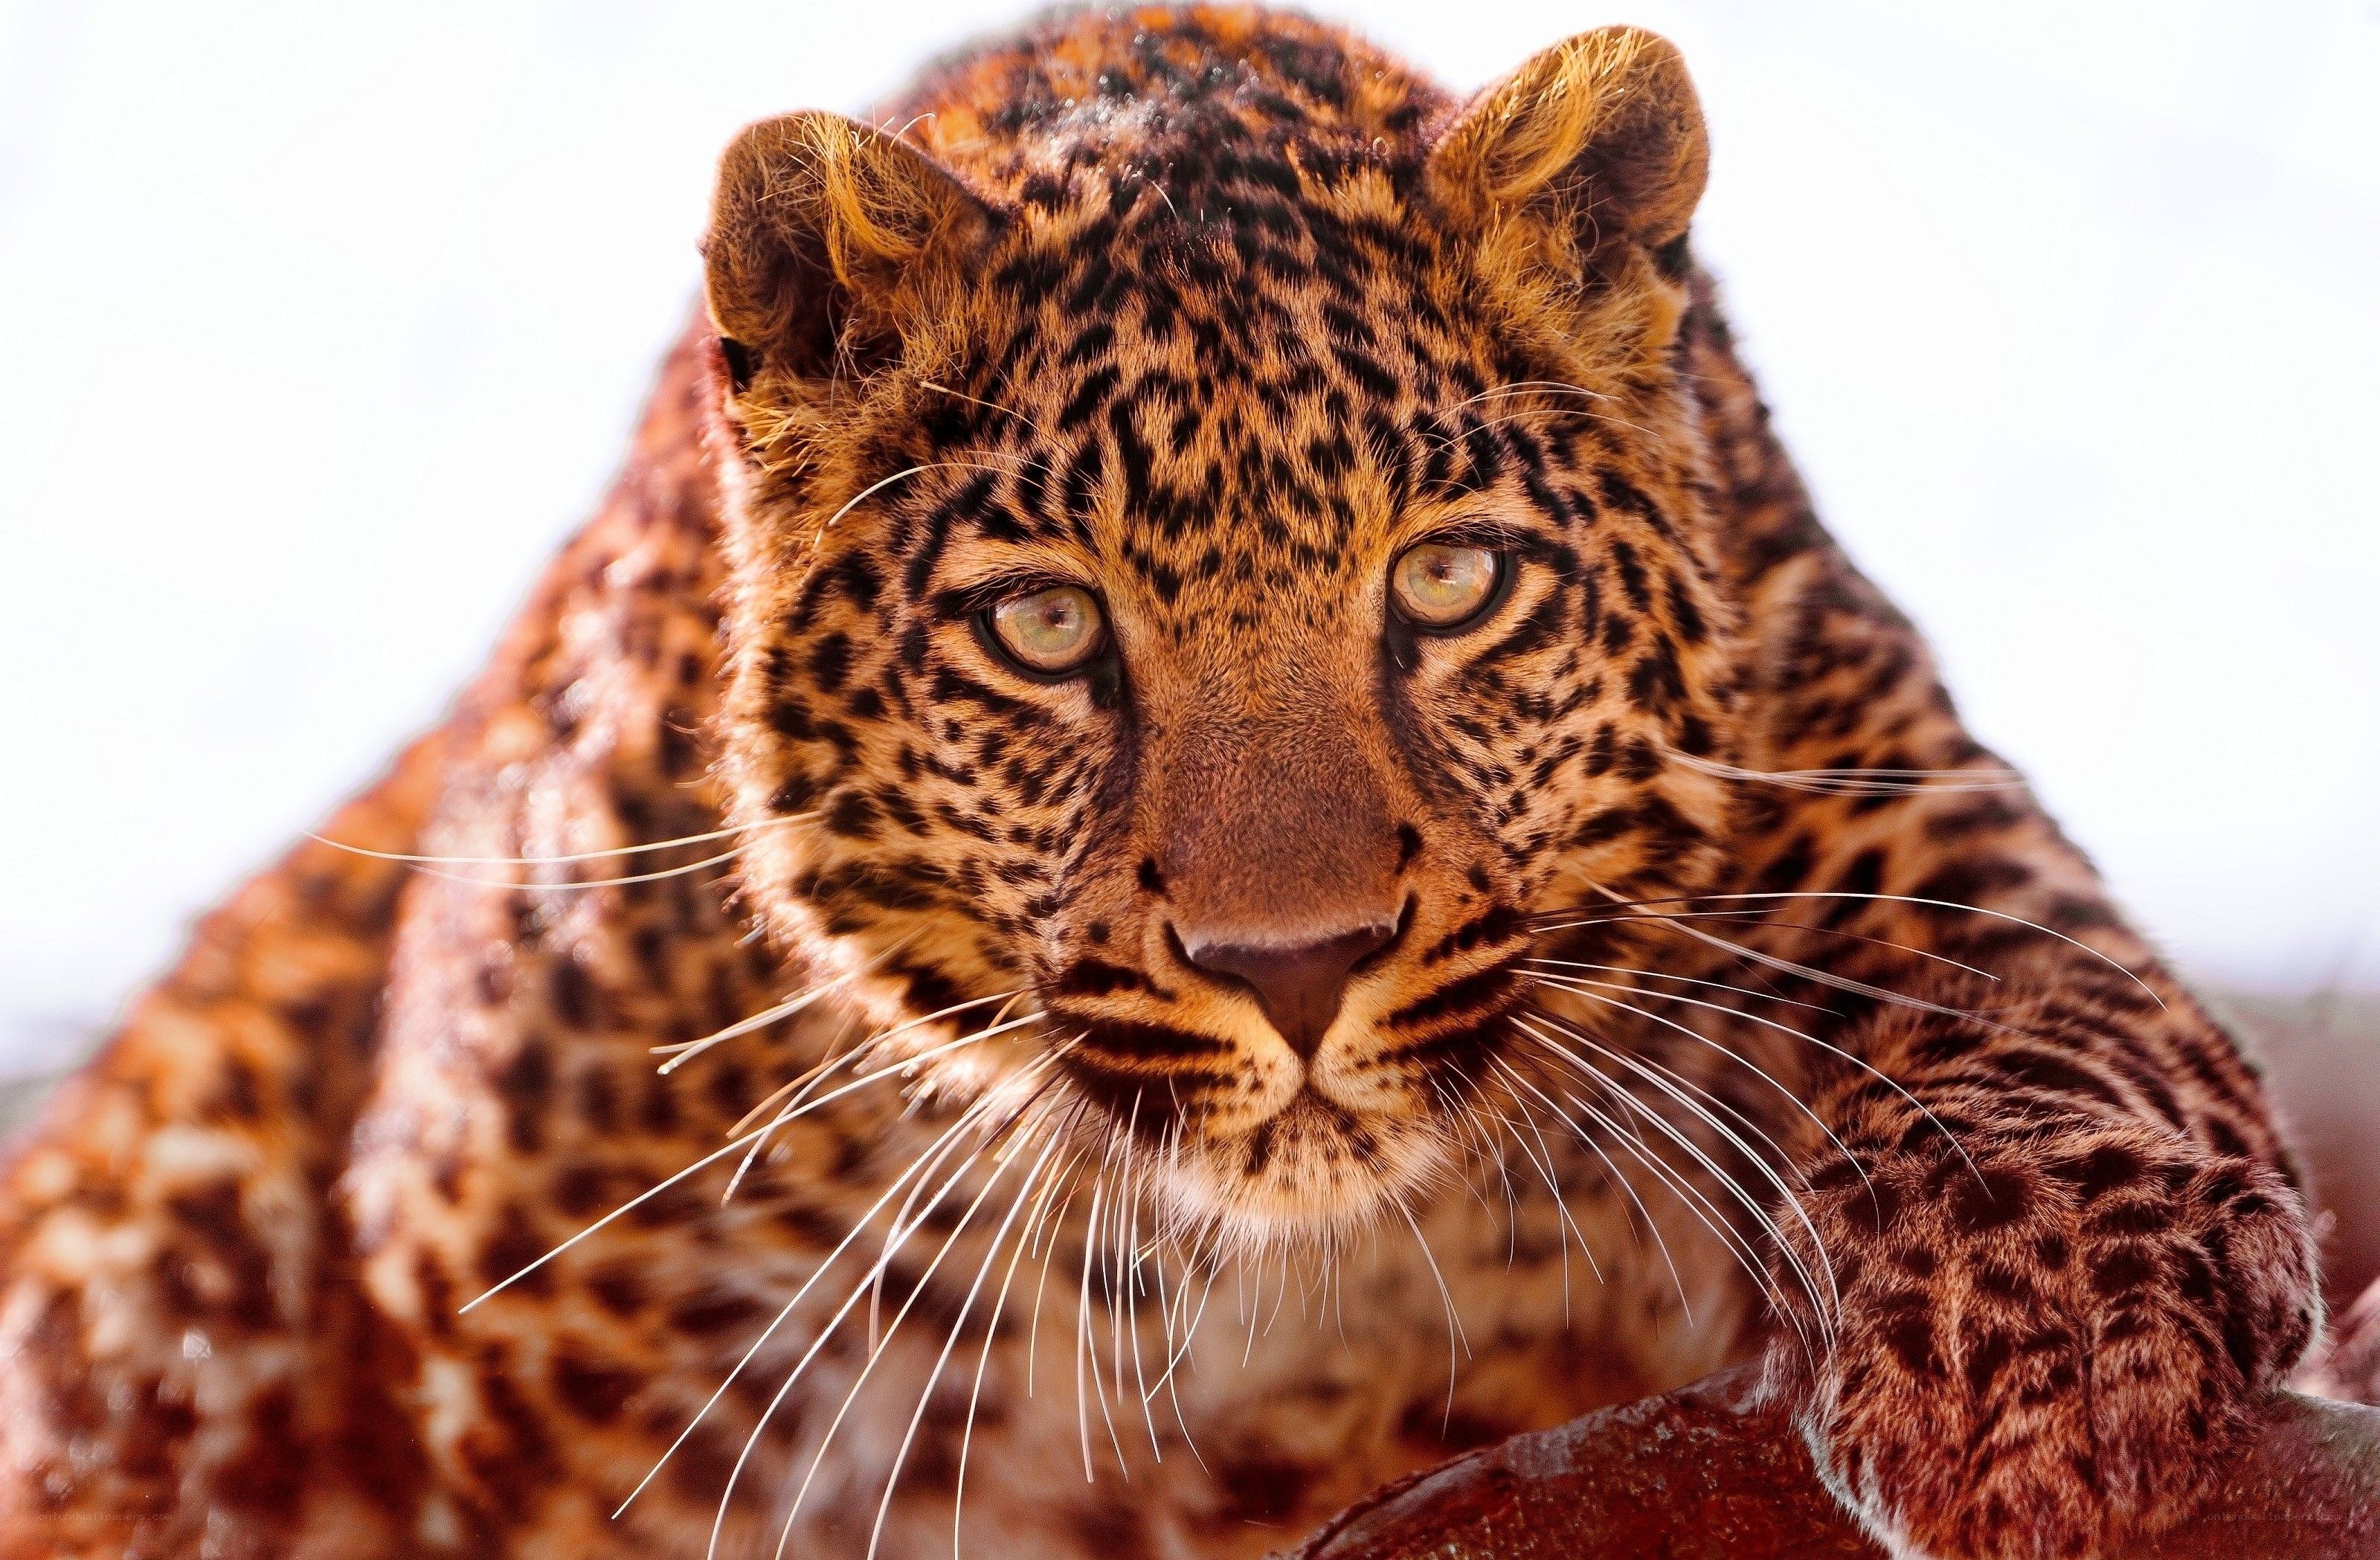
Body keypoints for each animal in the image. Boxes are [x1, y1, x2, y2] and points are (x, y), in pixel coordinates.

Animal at [0, 9, 2339, 1560]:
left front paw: (2045, 1368)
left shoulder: (1846, 744)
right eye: (1048, 628)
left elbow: (2014, 985)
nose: (1291, 969)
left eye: (1453, 582)